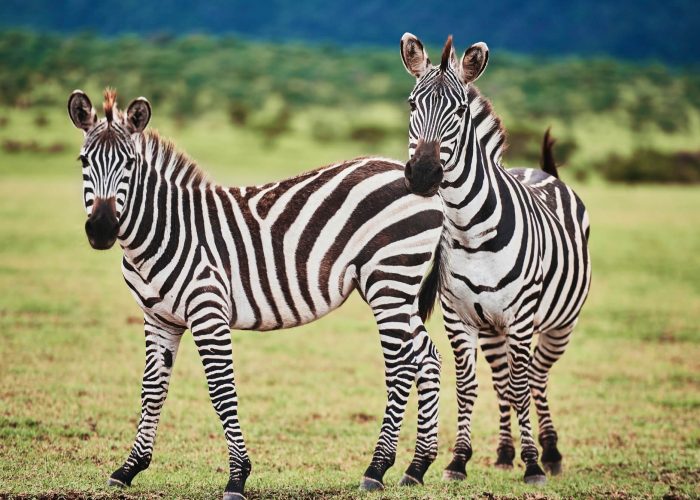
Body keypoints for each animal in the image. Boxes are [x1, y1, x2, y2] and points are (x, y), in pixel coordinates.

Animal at [66, 88, 445, 499]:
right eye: (83, 161)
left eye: (130, 163)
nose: (102, 229)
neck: (165, 229)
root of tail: (420, 181)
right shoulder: (159, 318)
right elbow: (153, 388)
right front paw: (129, 467)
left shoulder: (208, 311)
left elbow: (221, 390)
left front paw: (237, 476)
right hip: (399, 288)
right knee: (428, 356)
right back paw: (417, 467)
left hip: (389, 280)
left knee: (402, 364)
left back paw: (377, 468)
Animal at [399, 34, 592, 484]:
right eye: (412, 104)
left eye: (459, 111)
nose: (423, 174)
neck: (470, 231)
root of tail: (541, 171)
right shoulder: (460, 317)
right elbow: (468, 386)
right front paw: (458, 461)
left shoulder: (520, 318)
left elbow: (522, 386)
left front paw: (533, 464)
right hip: (492, 329)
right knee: (504, 381)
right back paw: (506, 453)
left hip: (559, 324)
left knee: (534, 378)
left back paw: (549, 452)